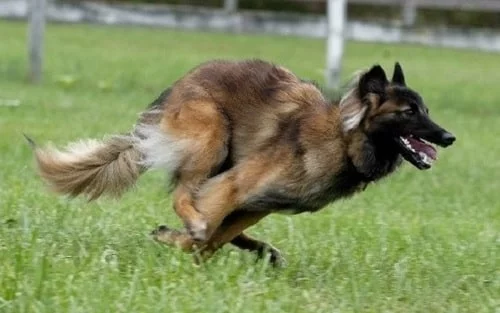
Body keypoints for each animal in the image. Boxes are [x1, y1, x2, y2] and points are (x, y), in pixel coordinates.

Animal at [27, 58, 458, 264]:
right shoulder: (235, 186)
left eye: (426, 110)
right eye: (408, 112)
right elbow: (205, 233)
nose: (449, 137)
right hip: (212, 137)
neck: (343, 138)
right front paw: (178, 241)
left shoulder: (260, 203)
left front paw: (193, 251)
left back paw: (262, 250)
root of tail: (182, 83)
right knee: (184, 195)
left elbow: (218, 238)